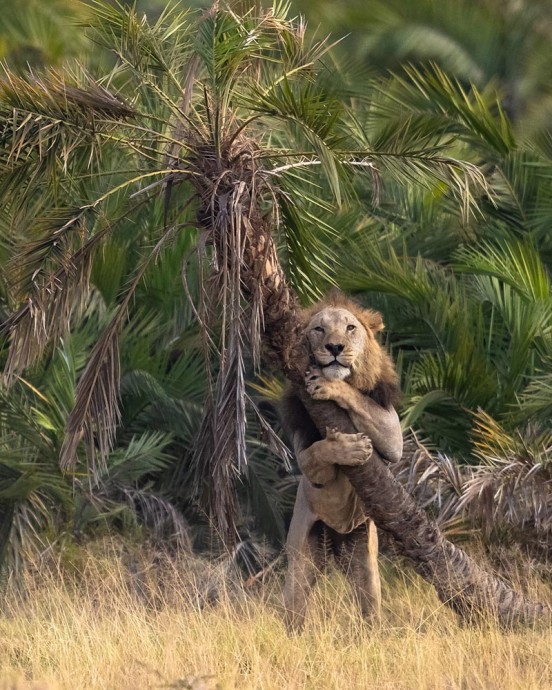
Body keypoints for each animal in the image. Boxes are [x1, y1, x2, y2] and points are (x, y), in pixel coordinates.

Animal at [280, 290, 402, 628]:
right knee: (295, 606)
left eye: (350, 328)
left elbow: (356, 396)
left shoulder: (393, 434)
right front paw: (349, 448)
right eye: (318, 329)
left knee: (369, 604)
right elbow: (319, 452)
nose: (335, 348)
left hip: (363, 558)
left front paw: (330, 385)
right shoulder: (306, 456)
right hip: (302, 557)